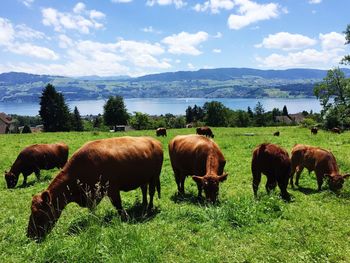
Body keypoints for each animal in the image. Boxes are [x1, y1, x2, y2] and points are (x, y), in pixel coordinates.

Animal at [27, 137, 164, 240]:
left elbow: (118, 205)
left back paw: (149, 208)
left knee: (151, 192)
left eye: (38, 214)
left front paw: (125, 217)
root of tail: (154, 141)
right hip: (144, 179)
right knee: (144, 191)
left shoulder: (112, 189)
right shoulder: (91, 195)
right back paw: (144, 205)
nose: (30, 234)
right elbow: (92, 209)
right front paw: (93, 220)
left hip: (154, 176)